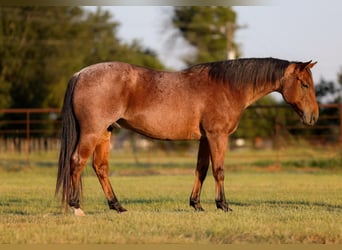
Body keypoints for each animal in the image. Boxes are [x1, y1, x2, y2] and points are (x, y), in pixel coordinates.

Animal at [54, 57, 320, 216]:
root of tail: (80, 74)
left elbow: (201, 170)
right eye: (304, 85)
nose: (314, 117)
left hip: (104, 133)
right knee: (77, 162)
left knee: (100, 167)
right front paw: (223, 205)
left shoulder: (205, 139)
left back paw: (117, 206)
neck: (228, 87)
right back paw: (77, 208)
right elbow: (219, 170)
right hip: (92, 132)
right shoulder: (217, 136)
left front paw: (197, 204)